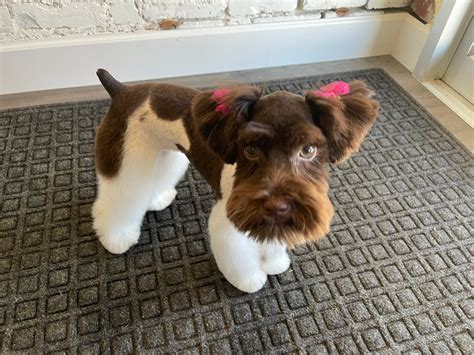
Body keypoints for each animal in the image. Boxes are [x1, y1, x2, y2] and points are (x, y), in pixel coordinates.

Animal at [92, 70, 380, 294]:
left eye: (308, 150)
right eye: (250, 149)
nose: (277, 205)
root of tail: (121, 90)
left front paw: (273, 261)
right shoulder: (230, 223)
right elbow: (238, 256)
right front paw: (250, 279)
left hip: (163, 151)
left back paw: (157, 198)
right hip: (126, 155)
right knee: (118, 198)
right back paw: (116, 238)